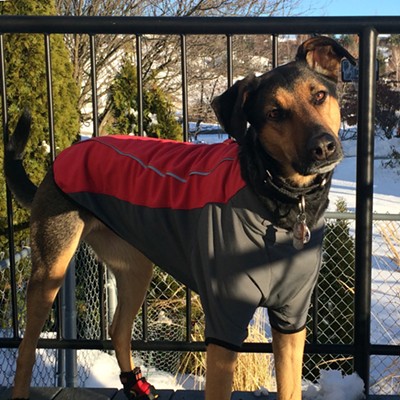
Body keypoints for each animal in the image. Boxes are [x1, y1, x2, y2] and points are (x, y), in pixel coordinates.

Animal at [3, 36, 354, 398]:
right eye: (274, 113)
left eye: (319, 95)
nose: (323, 147)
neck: (276, 198)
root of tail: (60, 160)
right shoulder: (224, 322)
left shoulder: (291, 318)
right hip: (51, 268)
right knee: (26, 349)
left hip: (135, 266)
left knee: (117, 329)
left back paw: (135, 385)